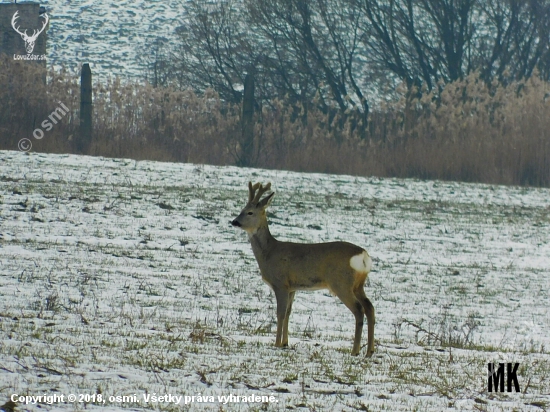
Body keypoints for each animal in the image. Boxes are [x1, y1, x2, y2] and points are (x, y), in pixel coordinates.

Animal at [231, 182, 378, 356]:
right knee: (370, 307)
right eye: (241, 209)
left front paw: (276, 343)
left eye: (250, 212)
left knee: (359, 309)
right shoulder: (293, 287)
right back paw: (369, 351)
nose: (234, 222)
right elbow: (288, 313)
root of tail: (363, 255)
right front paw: (285, 343)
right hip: (358, 284)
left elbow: (280, 313)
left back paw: (355, 351)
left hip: (341, 282)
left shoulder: (280, 283)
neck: (269, 252)